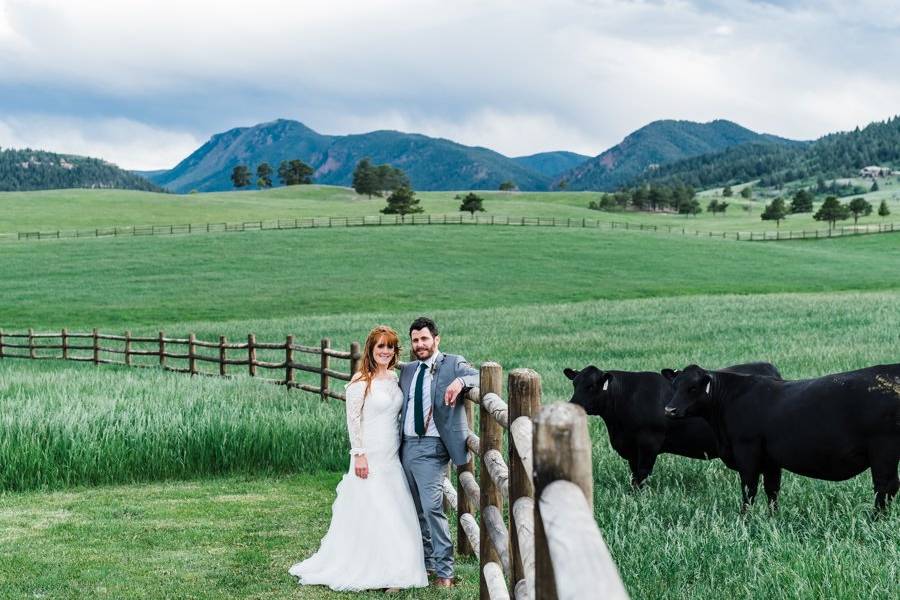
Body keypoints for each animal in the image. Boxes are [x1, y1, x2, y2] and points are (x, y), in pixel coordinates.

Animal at [564, 360, 780, 488]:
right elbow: (634, 473)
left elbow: (642, 473)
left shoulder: (649, 442)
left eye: (592, 386)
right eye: (574, 383)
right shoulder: (631, 447)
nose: (570, 406)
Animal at [660, 360, 900, 510]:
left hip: (883, 452)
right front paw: (772, 517)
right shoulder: (771, 461)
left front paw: (745, 520)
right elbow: (772, 490)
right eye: (675, 385)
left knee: (885, 487)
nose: (670, 410)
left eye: (693, 387)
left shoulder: (747, 453)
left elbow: (749, 490)